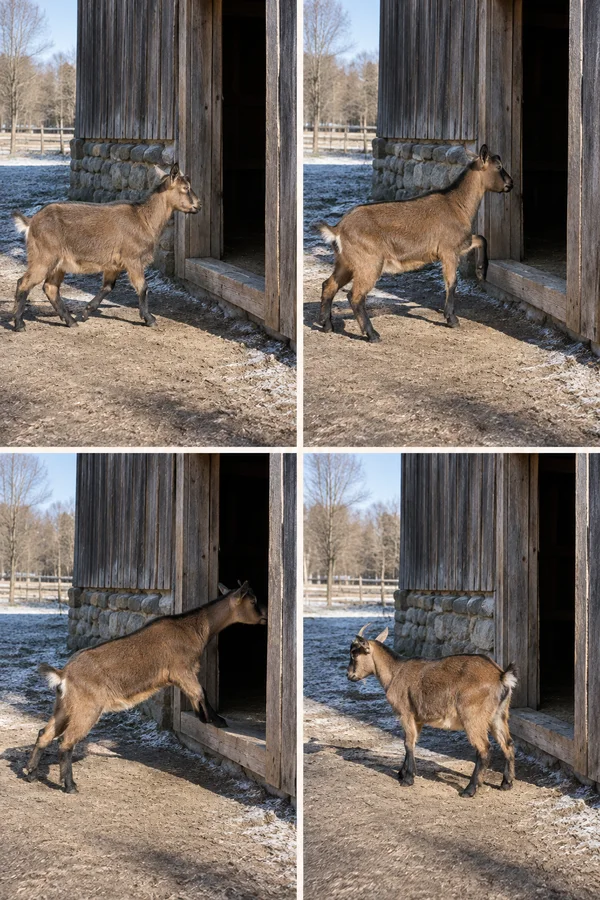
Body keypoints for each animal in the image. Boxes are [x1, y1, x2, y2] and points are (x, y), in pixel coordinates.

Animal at [10, 163, 199, 332]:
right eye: (185, 187)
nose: (198, 205)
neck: (144, 218)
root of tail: (31, 222)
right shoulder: (133, 259)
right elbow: (143, 287)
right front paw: (149, 319)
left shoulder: (114, 265)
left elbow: (108, 287)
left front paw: (86, 312)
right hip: (43, 257)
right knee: (24, 283)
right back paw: (19, 324)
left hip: (58, 263)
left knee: (50, 288)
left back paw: (71, 321)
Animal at [25, 582, 266, 793]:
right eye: (253, 600)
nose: (264, 616)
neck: (194, 629)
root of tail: (63, 674)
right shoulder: (182, 670)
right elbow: (200, 692)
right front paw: (217, 720)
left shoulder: (182, 675)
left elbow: (195, 693)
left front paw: (203, 718)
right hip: (87, 708)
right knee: (65, 742)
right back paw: (70, 786)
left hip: (64, 705)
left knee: (44, 733)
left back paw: (30, 773)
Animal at [317, 144, 513, 341]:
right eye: (498, 166)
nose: (510, 184)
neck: (457, 205)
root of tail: (338, 229)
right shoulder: (449, 250)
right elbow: (452, 282)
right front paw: (452, 318)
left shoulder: (460, 244)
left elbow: (481, 238)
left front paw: (480, 271)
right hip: (369, 262)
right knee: (355, 296)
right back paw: (372, 334)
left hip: (346, 262)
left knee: (328, 285)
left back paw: (327, 326)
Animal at [347, 623, 517, 798]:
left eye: (354, 654)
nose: (349, 675)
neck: (395, 672)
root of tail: (501, 676)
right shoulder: (418, 718)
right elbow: (412, 741)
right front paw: (403, 772)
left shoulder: (405, 713)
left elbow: (408, 743)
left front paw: (408, 778)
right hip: (498, 715)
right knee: (508, 743)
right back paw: (506, 783)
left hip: (473, 717)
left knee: (484, 749)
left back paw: (470, 789)